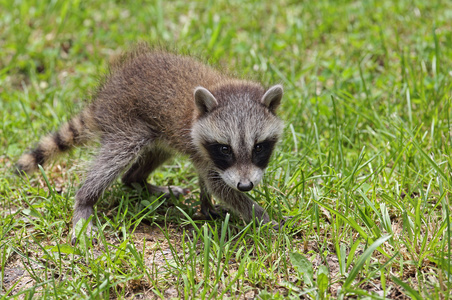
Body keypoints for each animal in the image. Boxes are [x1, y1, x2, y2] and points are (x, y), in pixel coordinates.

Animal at [17, 45, 286, 246]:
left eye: (258, 147)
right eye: (225, 149)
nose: (246, 185)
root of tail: (102, 98)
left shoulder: (201, 151)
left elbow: (209, 179)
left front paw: (206, 203)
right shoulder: (207, 152)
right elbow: (221, 186)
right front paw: (262, 217)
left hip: (158, 135)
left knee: (142, 164)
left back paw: (138, 180)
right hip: (124, 121)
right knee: (116, 157)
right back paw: (85, 201)